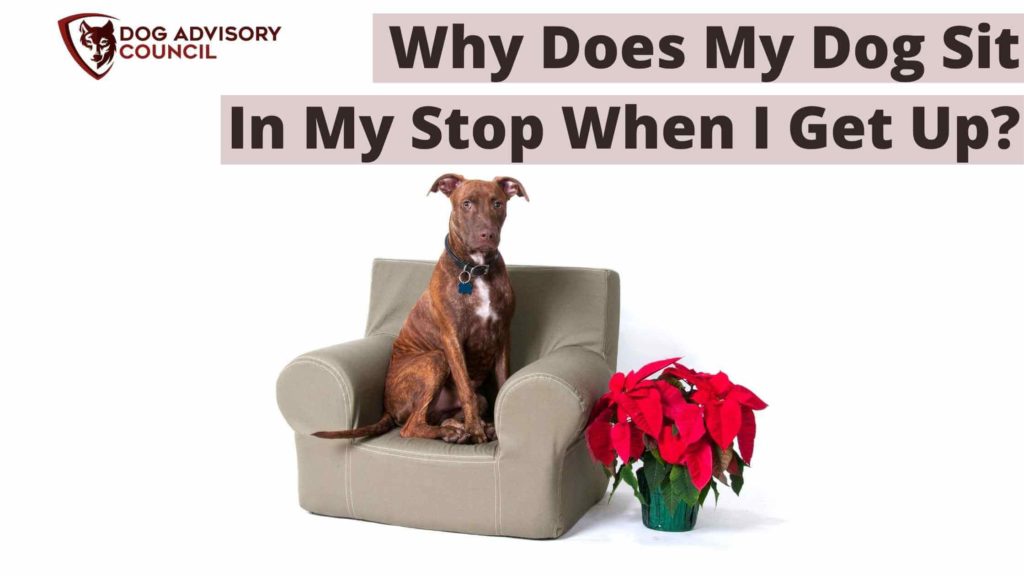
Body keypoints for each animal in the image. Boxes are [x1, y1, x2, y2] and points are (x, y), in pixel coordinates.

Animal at [313, 172, 528, 440]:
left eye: (497, 203)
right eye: (466, 204)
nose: (487, 235)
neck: (475, 270)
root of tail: (387, 408)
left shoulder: (502, 336)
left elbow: (501, 385)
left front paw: (492, 428)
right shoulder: (452, 339)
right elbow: (466, 389)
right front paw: (477, 432)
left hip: (468, 397)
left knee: (438, 417)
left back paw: (457, 428)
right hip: (434, 360)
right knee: (410, 427)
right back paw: (456, 432)